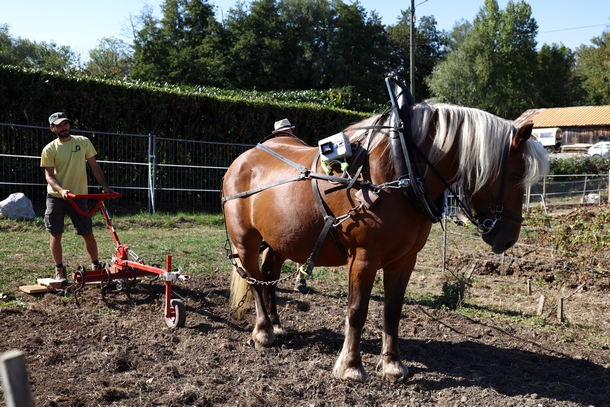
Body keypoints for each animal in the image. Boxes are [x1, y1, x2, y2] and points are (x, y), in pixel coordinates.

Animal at [221, 87, 548, 382]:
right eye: (516, 175)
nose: (508, 239)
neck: (399, 172)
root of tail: (241, 161)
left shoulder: (404, 260)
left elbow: (392, 311)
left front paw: (392, 365)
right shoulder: (363, 258)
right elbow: (357, 310)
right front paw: (351, 367)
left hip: (280, 242)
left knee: (269, 275)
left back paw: (276, 324)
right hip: (246, 240)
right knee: (255, 280)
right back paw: (264, 331)